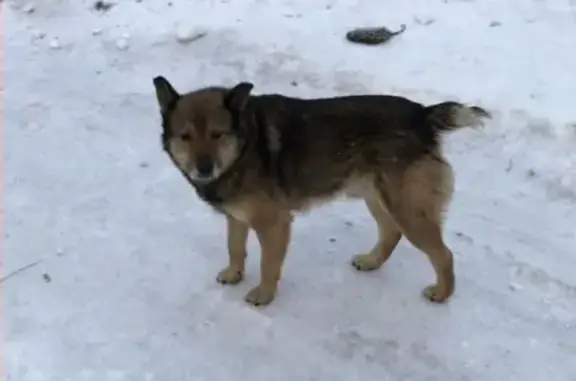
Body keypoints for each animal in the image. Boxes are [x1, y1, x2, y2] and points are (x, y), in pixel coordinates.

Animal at [152, 76, 490, 306]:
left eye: (217, 135)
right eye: (185, 137)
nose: (204, 168)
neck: (246, 144)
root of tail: (422, 114)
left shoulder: (273, 224)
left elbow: (267, 265)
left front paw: (263, 295)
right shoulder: (237, 218)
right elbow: (235, 249)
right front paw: (234, 274)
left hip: (407, 209)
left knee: (443, 254)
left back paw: (442, 293)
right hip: (376, 196)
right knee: (391, 232)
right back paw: (372, 261)